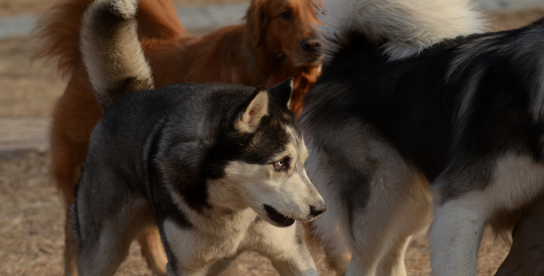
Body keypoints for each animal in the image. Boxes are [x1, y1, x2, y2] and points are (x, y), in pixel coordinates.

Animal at [73, 0, 328, 274]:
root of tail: (126, 98)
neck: (232, 212)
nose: (320, 209)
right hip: (102, 252)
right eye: (280, 163)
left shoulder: (291, 254)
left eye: (303, 162)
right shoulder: (186, 265)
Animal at [300, 0, 544, 274]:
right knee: (364, 261)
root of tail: (352, 52)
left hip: (412, 201)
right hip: (379, 200)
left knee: (392, 253)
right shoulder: (460, 205)